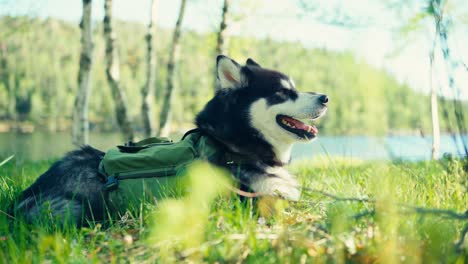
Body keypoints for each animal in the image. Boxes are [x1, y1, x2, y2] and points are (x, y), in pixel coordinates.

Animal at [12, 54, 328, 226]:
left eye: (295, 87)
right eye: (283, 92)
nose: (325, 97)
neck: (233, 148)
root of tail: (26, 195)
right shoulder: (256, 202)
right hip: (78, 208)